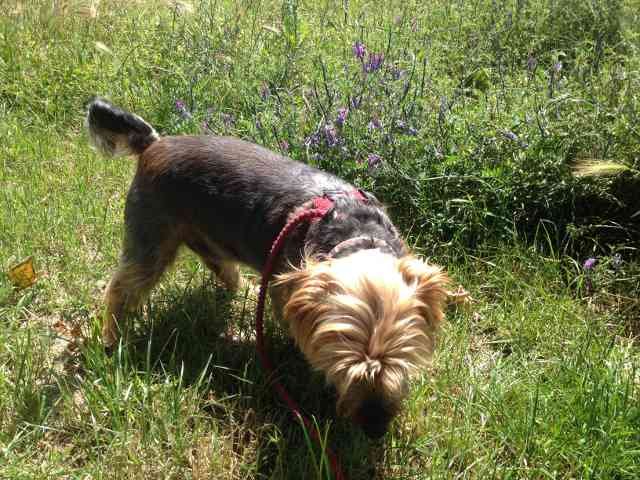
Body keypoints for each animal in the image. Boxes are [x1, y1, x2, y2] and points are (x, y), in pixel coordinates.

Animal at [86, 97, 450, 438]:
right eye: (342, 365)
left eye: (403, 361)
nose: (375, 428)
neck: (355, 234)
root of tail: (154, 143)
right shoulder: (285, 287)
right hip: (151, 238)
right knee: (121, 288)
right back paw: (112, 340)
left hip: (209, 239)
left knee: (222, 269)